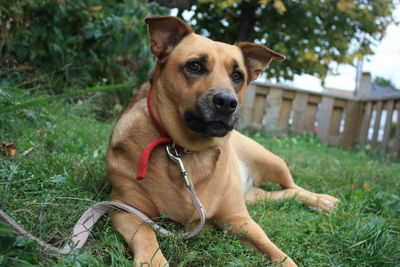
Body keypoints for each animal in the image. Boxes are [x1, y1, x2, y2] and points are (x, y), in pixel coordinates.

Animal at [105, 16, 338, 267]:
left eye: (238, 76)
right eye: (195, 66)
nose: (227, 102)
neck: (187, 151)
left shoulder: (239, 219)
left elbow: (276, 251)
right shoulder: (124, 209)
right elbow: (146, 234)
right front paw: (153, 260)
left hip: (273, 162)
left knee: (293, 187)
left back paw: (322, 200)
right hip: (255, 194)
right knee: (284, 194)